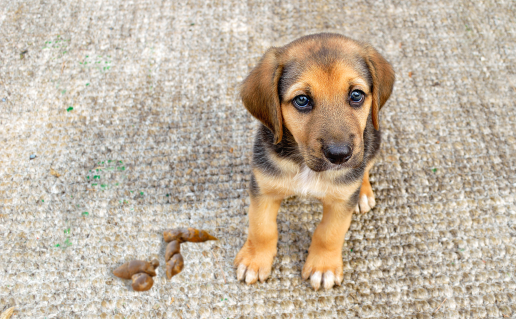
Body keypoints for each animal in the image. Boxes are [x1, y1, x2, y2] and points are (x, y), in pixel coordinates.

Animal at [235, 33, 396, 292]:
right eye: (302, 100)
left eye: (356, 95)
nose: (339, 155)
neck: (304, 165)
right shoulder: (263, 189)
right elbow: (261, 229)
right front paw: (254, 260)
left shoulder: (340, 203)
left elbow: (329, 234)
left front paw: (323, 267)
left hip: (373, 140)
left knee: (365, 167)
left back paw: (363, 193)